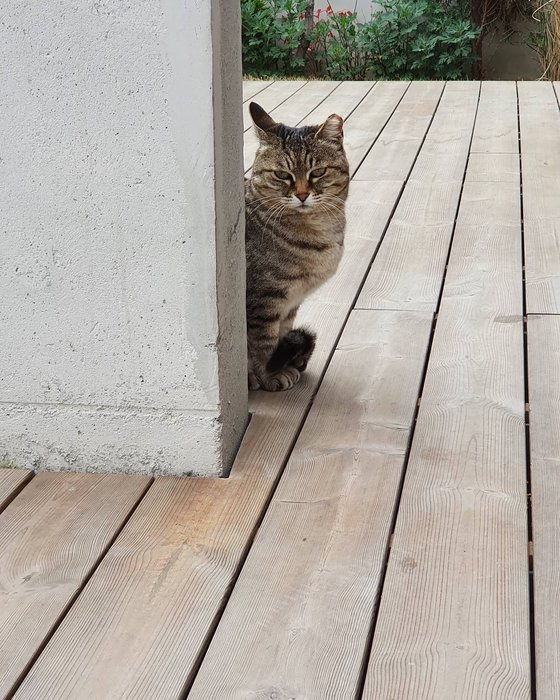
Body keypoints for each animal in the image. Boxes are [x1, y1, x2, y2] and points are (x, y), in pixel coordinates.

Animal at [246, 101, 350, 392]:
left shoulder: (290, 304)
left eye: (318, 172)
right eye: (282, 175)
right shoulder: (263, 301)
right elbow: (263, 345)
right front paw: (268, 376)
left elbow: (282, 334)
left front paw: (285, 364)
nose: (302, 195)